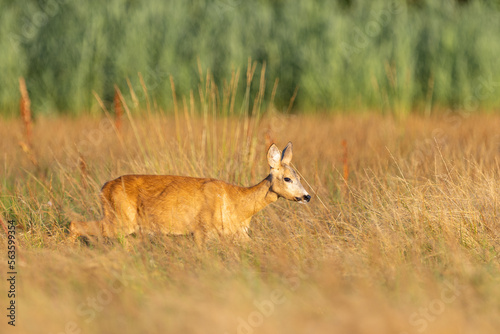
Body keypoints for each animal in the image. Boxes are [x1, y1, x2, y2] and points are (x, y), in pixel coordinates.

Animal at [68, 142, 310, 245]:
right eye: (287, 178)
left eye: (298, 175)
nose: (307, 196)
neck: (238, 202)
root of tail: (103, 187)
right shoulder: (202, 229)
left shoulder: (239, 233)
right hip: (119, 219)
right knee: (75, 224)